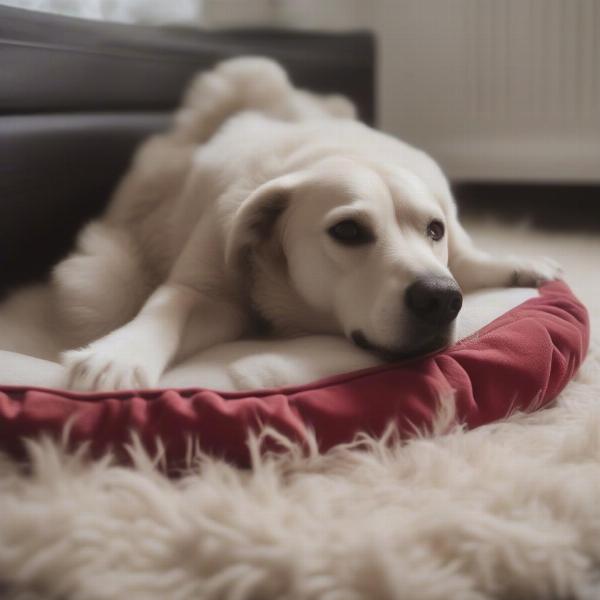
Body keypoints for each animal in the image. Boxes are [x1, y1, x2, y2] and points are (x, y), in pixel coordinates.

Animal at [52, 57, 564, 394]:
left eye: (432, 229)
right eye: (349, 231)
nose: (440, 298)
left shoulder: (451, 239)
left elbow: (468, 256)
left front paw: (517, 264)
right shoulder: (208, 285)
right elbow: (170, 305)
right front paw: (121, 352)